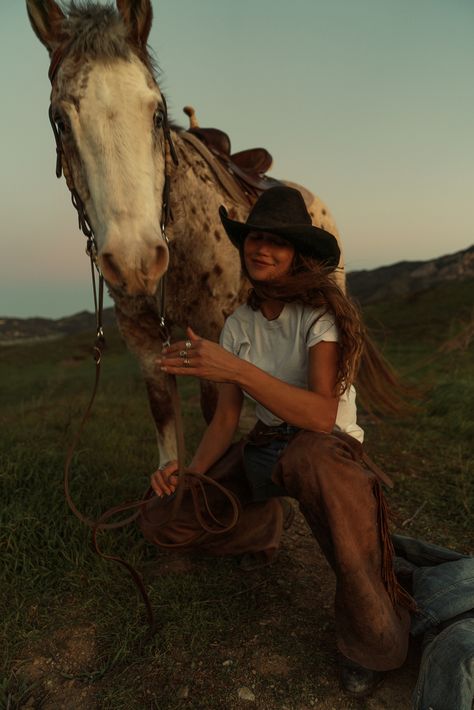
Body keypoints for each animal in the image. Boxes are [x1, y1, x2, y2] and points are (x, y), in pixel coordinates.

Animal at [25, 0, 402, 468]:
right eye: (60, 120)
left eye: (156, 113)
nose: (135, 261)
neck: (183, 233)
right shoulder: (145, 344)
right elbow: (167, 433)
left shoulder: (212, 338)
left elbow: (216, 417)